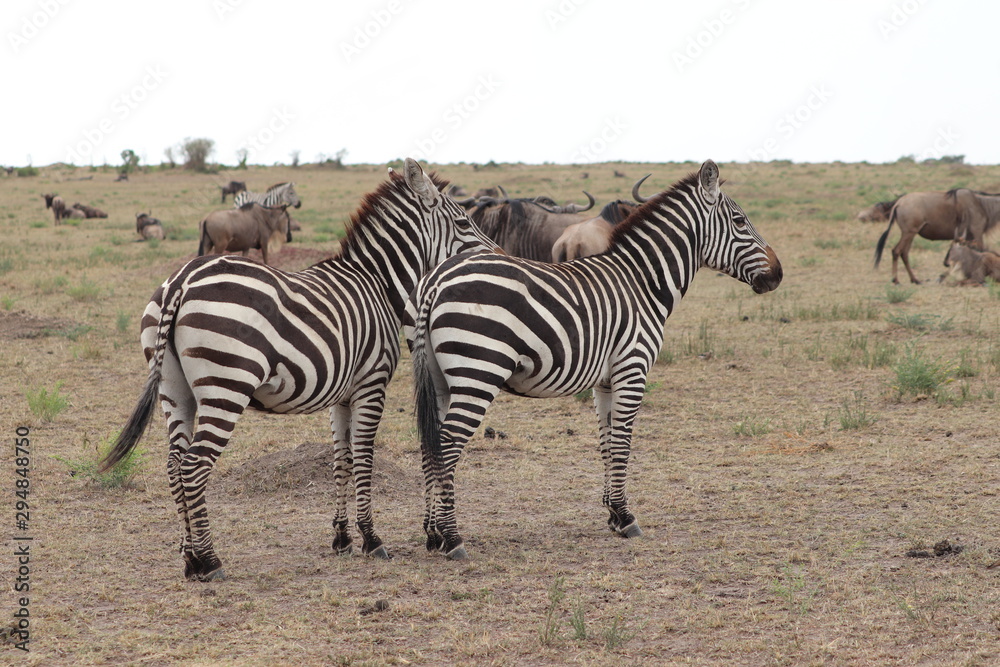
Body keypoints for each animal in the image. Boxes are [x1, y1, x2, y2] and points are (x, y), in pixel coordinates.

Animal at [100, 158, 498, 581]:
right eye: (463, 222)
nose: (499, 255)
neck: (379, 284)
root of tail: (182, 279)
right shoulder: (372, 384)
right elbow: (365, 458)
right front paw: (372, 539)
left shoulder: (343, 394)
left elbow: (342, 460)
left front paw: (342, 539)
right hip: (225, 385)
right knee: (193, 467)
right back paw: (210, 561)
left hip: (174, 389)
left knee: (175, 466)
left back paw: (190, 560)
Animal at [404, 160, 783, 560]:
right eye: (740, 221)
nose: (778, 274)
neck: (643, 284)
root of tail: (435, 280)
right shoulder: (633, 369)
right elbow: (623, 443)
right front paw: (627, 518)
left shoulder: (605, 382)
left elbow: (606, 442)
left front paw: (613, 514)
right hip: (477, 373)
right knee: (446, 445)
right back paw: (452, 538)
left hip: (439, 378)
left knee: (430, 443)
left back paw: (432, 535)